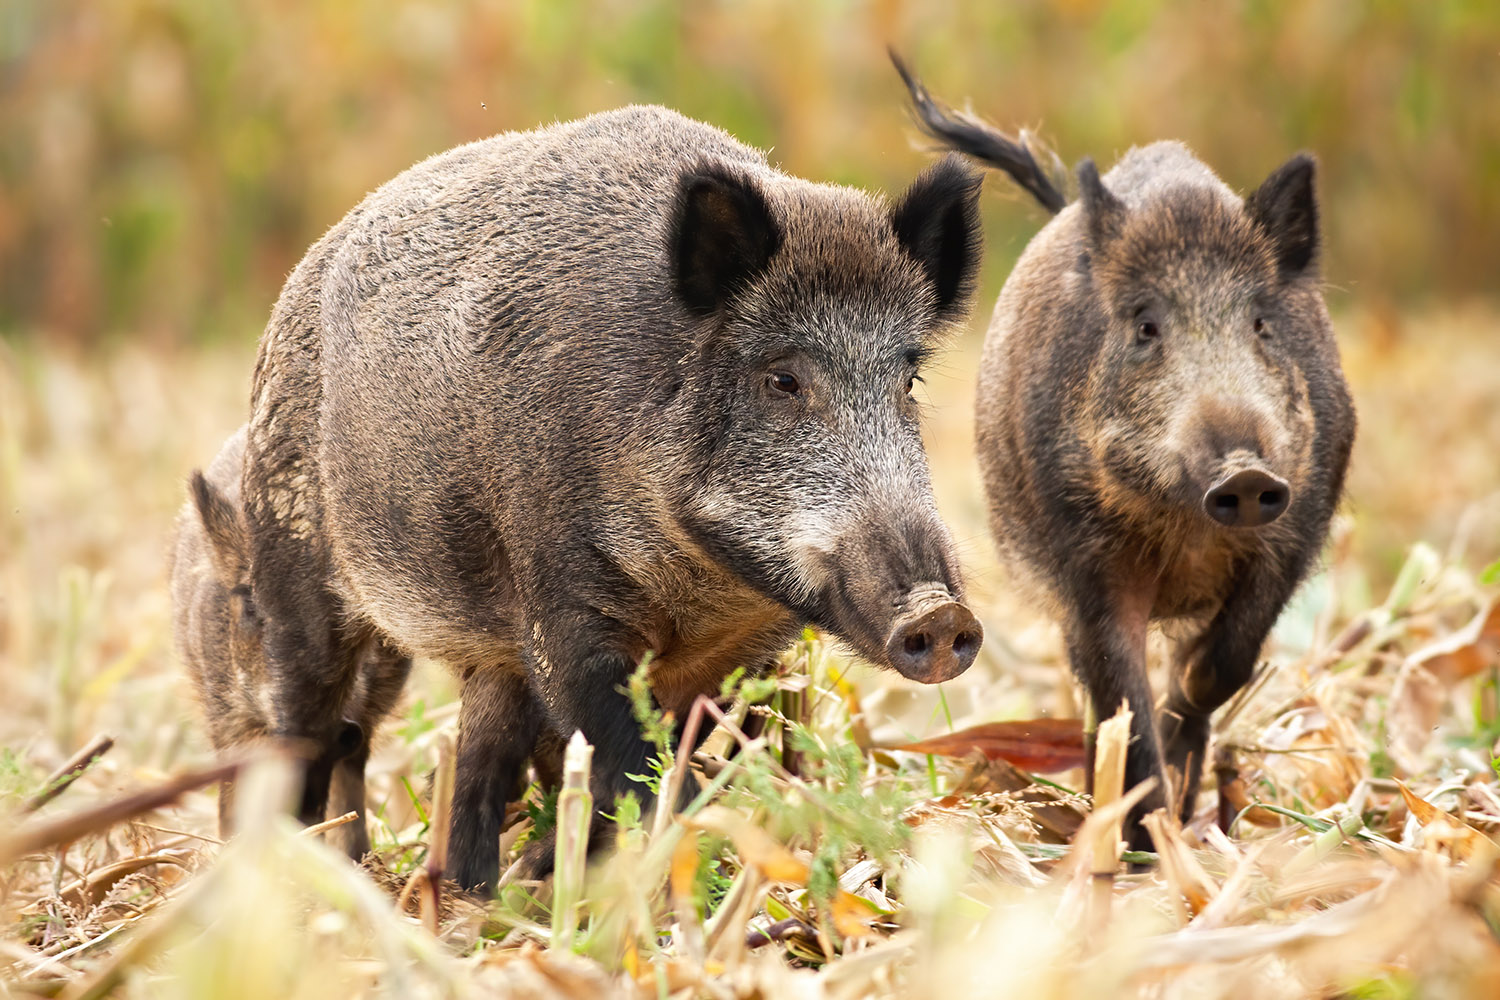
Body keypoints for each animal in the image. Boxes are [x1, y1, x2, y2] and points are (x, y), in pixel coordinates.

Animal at [239, 105, 987, 890]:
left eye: (908, 381)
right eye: (783, 379)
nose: (940, 614)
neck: (703, 583)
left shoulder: (744, 651)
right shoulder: (560, 602)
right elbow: (635, 767)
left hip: (491, 662)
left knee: (477, 758)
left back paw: (472, 894)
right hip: (293, 572)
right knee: (305, 730)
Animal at [896, 59, 1356, 850]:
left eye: (1262, 324)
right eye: (1145, 325)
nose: (1245, 471)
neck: (1189, 526)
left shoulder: (1297, 522)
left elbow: (1225, 660)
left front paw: (1181, 738)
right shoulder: (1085, 558)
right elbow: (1121, 696)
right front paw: (1148, 843)